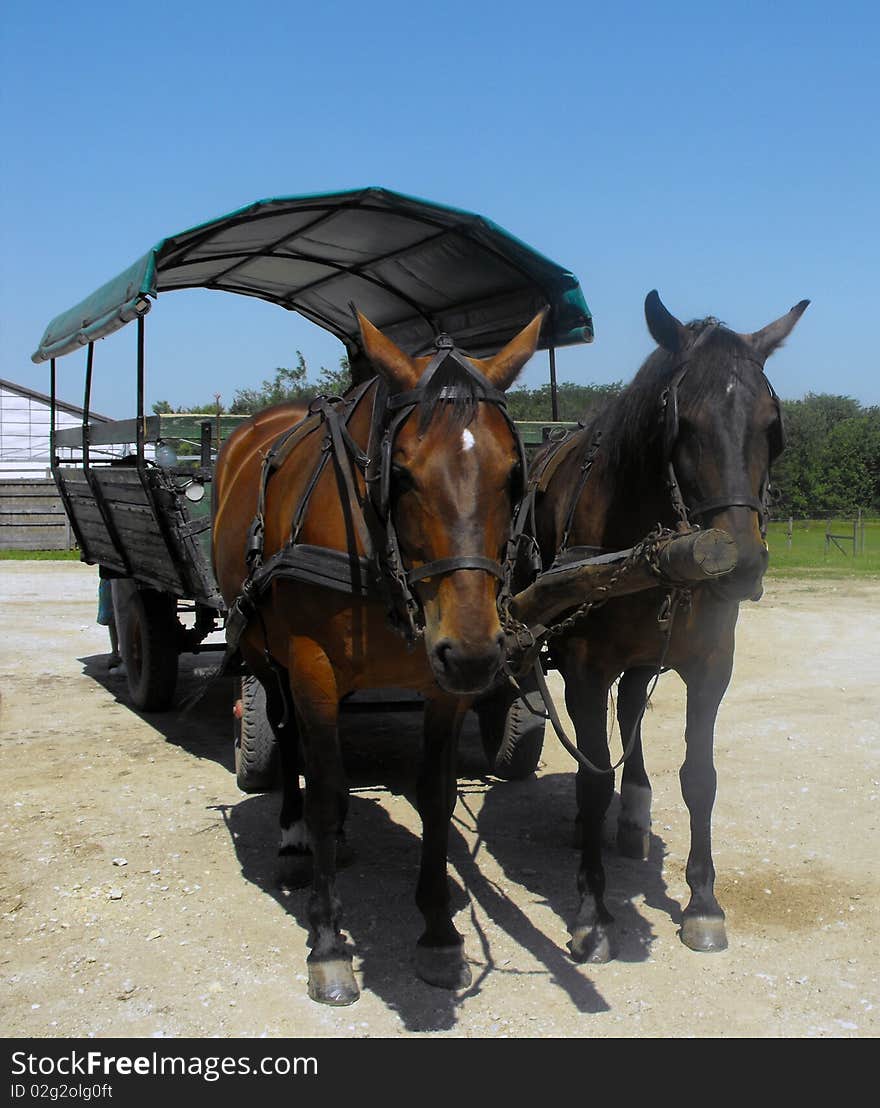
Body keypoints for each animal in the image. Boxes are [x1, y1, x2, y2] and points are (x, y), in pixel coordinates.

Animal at [212, 310, 540, 1006]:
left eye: (511, 477)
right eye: (405, 474)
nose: (475, 654)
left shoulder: (440, 684)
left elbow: (436, 793)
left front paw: (439, 932)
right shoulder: (310, 663)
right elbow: (324, 786)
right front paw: (329, 944)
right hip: (266, 654)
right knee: (291, 739)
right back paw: (296, 841)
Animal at [531, 290, 806, 966]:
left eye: (770, 425)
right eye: (685, 426)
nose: (742, 563)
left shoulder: (711, 665)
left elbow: (700, 778)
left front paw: (703, 903)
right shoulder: (583, 670)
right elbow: (589, 779)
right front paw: (592, 915)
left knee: (632, 707)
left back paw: (633, 816)